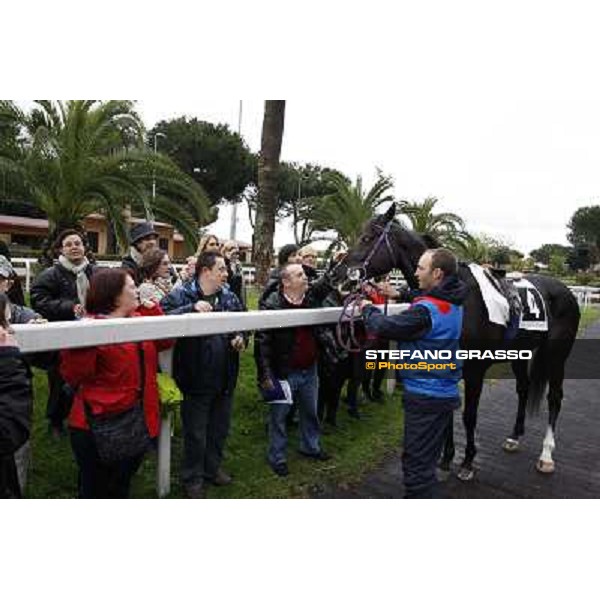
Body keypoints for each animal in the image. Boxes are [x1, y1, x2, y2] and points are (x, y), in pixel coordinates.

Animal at [336, 204, 580, 480]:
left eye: (367, 238)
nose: (339, 275)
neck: (458, 297)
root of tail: (566, 290)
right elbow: (448, 412)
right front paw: (446, 458)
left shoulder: (475, 370)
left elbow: (469, 415)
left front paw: (467, 462)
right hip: (521, 353)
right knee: (524, 388)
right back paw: (514, 437)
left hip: (556, 354)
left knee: (555, 397)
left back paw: (546, 456)